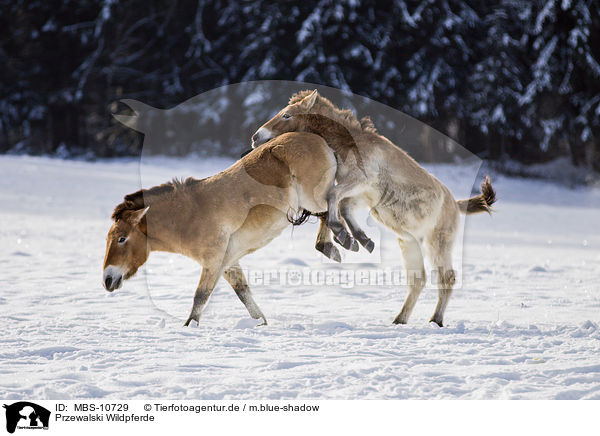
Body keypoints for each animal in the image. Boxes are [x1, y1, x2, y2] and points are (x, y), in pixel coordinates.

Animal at [101, 131, 340, 326]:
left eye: (122, 238)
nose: (107, 280)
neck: (189, 214)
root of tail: (317, 139)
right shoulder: (228, 263)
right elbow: (243, 293)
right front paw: (260, 324)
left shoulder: (213, 260)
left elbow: (200, 296)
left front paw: (189, 328)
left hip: (313, 199)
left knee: (335, 205)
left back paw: (333, 244)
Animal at [251, 89, 494, 328]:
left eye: (287, 115)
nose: (256, 137)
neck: (352, 145)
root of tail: (456, 204)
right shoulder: (363, 194)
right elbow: (341, 205)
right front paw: (357, 240)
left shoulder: (361, 182)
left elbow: (333, 198)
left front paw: (342, 235)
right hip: (410, 244)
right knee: (418, 280)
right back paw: (400, 320)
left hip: (438, 244)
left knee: (447, 278)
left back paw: (436, 320)